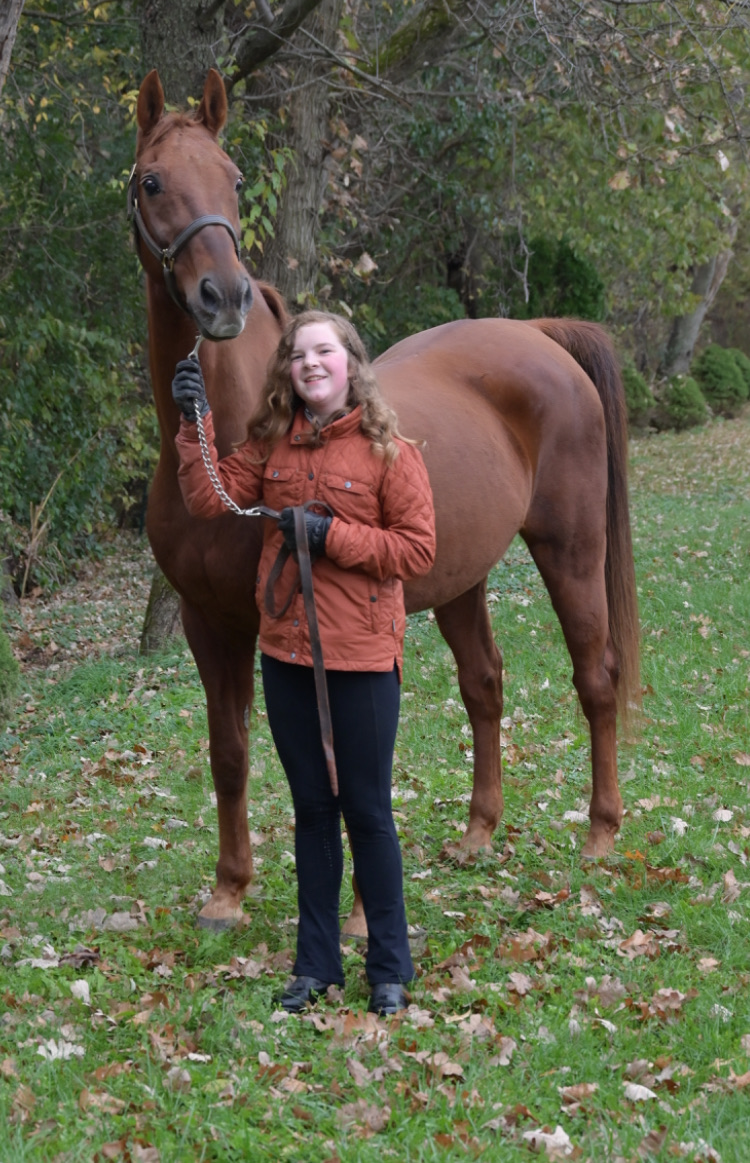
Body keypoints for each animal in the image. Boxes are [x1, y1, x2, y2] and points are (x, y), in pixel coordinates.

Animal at [131, 68, 640, 933]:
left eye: (234, 178)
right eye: (152, 181)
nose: (223, 296)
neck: (232, 433)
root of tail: (539, 335)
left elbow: (344, 763)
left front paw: (364, 917)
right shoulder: (209, 623)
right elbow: (230, 752)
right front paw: (230, 890)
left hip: (571, 551)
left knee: (595, 676)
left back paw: (601, 834)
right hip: (463, 577)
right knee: (485, 683)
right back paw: (477, 833)